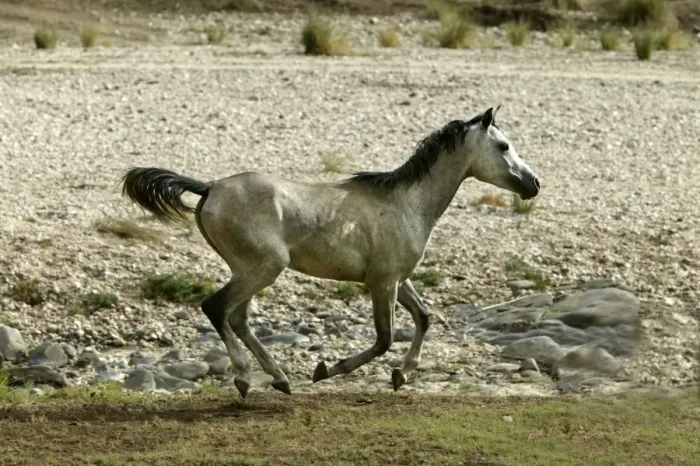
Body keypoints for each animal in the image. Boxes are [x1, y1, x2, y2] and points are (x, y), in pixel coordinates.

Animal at [119, 106, 540, 398]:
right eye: (504, 146)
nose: (534, 183)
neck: (406, 202)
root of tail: (209, 188)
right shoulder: (382, 282)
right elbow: (384, 338)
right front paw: (327, 370)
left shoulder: (396, 279)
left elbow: (423, 318)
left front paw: (402, 375)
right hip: (263, 268)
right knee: (217, 308)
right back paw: (246, 378)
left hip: (248, 271)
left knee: (236, 318)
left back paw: (280, 379)